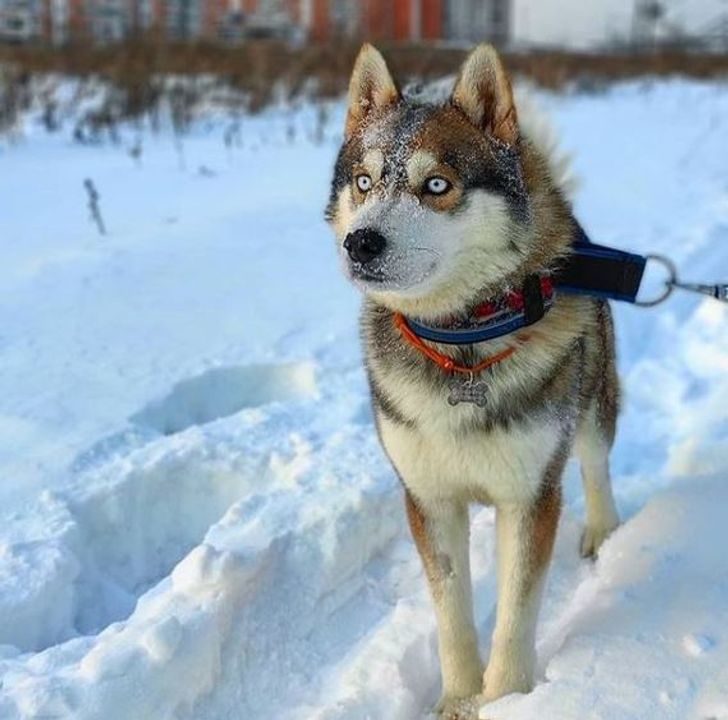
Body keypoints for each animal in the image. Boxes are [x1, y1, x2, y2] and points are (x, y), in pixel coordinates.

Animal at [328, 45, 616, 716]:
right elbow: (451, 612)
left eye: (436, 185)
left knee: (595, 463)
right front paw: (461, 698)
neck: (460, 343)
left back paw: (604, 532)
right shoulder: (428, 498)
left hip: (592, 403)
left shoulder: (532, 495)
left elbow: (515, 609)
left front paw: (505, 696)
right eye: (364, 182)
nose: (360, 243)